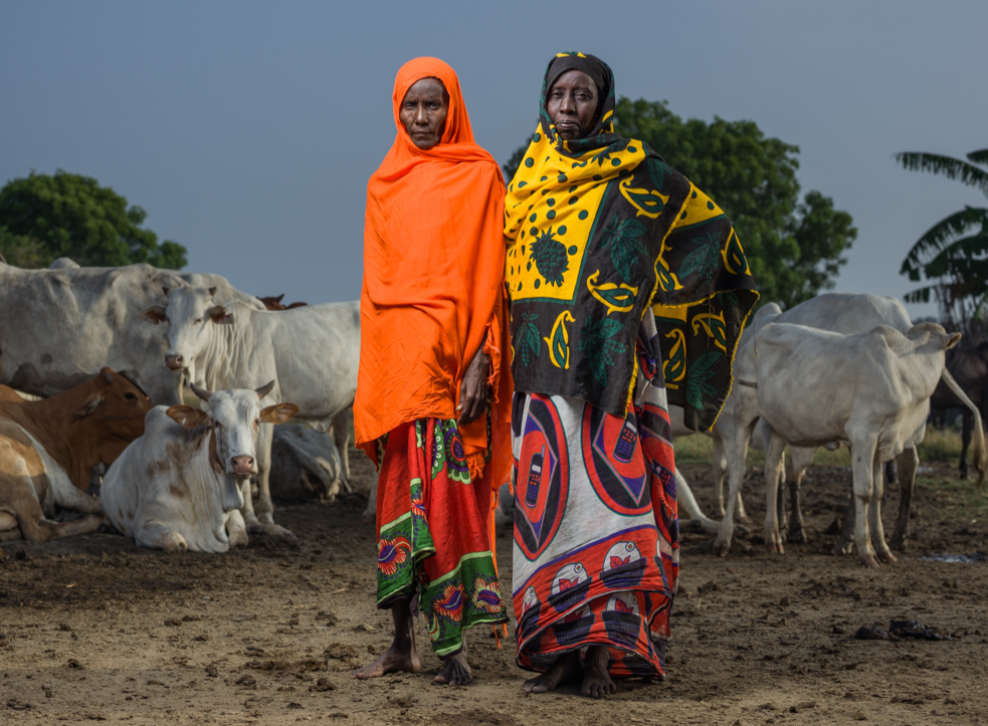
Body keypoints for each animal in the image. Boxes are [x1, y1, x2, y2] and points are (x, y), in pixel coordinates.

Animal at [0, 372, 152, 544]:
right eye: (129, 395)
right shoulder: (61, 482)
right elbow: (101, 503)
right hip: (20, 476)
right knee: (39, 529)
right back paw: (97, 523)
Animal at [103, 384, 302, 556]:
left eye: (257, 420)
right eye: (216, 422)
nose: (243, 462)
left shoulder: (234, 514)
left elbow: (240, 538)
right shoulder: (144, 524)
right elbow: (177, 542)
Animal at [141, 288, 360, 536]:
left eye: (198, 319)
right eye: (168, 318)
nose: (173, 358)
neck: (227, 351)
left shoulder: (264, 411)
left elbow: (261, 464)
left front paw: (263, 516)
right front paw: (246, 516)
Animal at [752, 324, 960, 568]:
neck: (904, 371)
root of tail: (767, 327)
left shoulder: (881, 444)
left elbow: (878, 493)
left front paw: (883, 549)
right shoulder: (863, 435)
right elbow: (865, 491)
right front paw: (866, 551)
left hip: (778, 428)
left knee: (774, 472)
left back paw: (774, 537)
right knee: (767, 472)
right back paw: (769, 536)